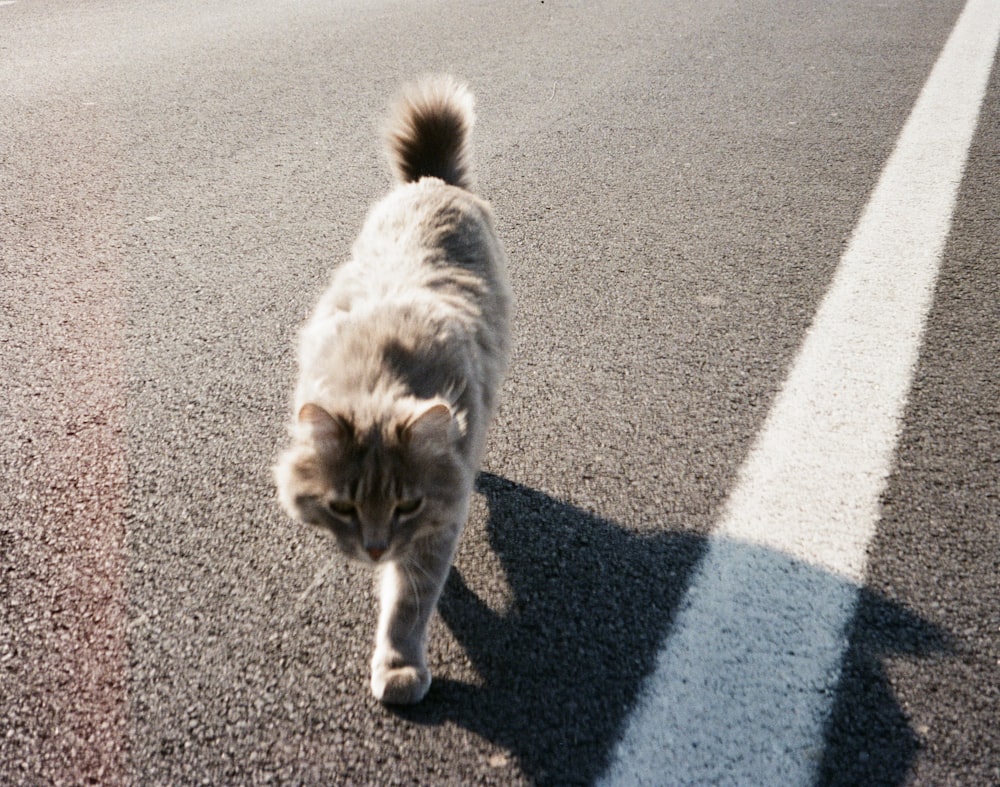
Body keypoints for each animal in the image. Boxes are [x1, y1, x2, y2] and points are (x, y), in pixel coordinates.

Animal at [274, 77, 512, 704]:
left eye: (407, 505)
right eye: (342, 507)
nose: (376, 548)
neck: (381, 380)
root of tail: (430, 180)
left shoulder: (438, 525)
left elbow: (409, 601)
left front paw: (400, 664)